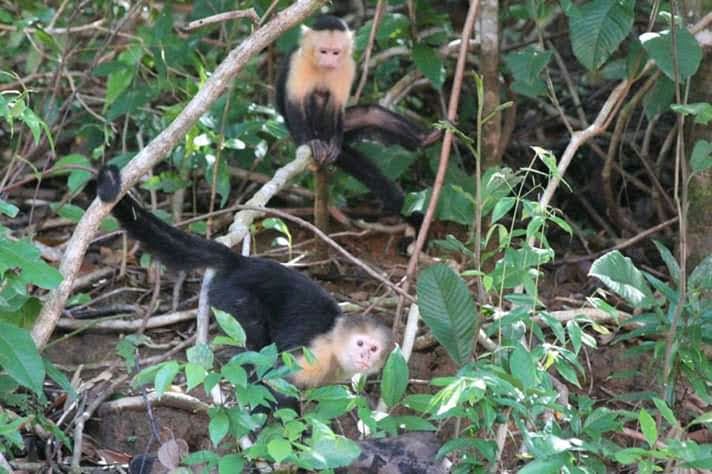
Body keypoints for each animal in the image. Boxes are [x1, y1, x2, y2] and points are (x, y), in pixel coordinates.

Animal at [91, 166, 392, 396]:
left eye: (374, 348)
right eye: (360, 344)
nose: (365, 356)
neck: (334, 347)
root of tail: (240, 261)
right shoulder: (314, 354)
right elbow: (275, 377)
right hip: (233, 294)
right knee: (253, 332)